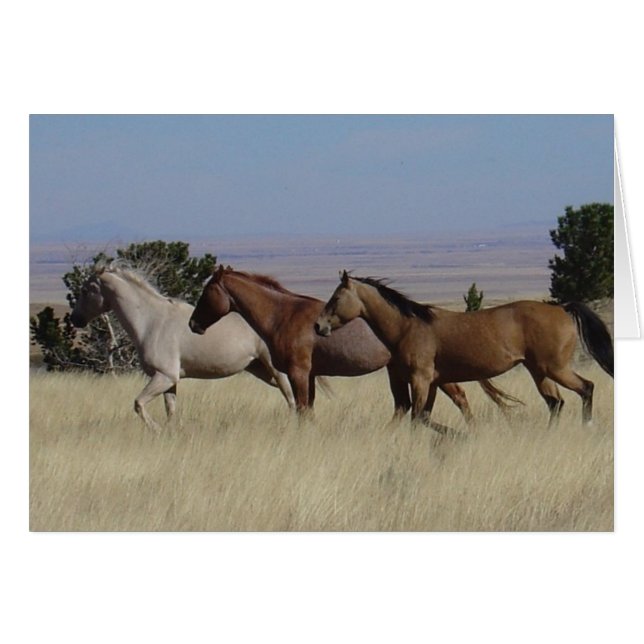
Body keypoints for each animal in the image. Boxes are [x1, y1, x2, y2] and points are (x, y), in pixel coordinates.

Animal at [70, 263, 295, 430]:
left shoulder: (165, 376)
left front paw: (156, 429)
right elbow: (170, 410)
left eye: (85, 290)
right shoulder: (169, 380)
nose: (75, 319)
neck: (151, 321)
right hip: (261, 369)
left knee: (292, 399)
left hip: (276, 370)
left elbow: (138, 404)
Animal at [189, 265, 522, 421]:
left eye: (207, 292)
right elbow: (308, 410)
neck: (283, 315)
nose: (193, 324)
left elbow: (302, 409)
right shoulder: (309, 375)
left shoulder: (298, 372)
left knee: (460, 399)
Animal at [315, 271, 614, 426]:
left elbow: (416, 417)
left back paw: (587, 425)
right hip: (539, 371)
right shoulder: (433, 382)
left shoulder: (421, 379)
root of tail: (561, 308)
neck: (408, 327)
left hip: (555, 368)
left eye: (336, 298)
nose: (319, 326)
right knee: (555, 403)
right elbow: (423, 417)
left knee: (585, 388)